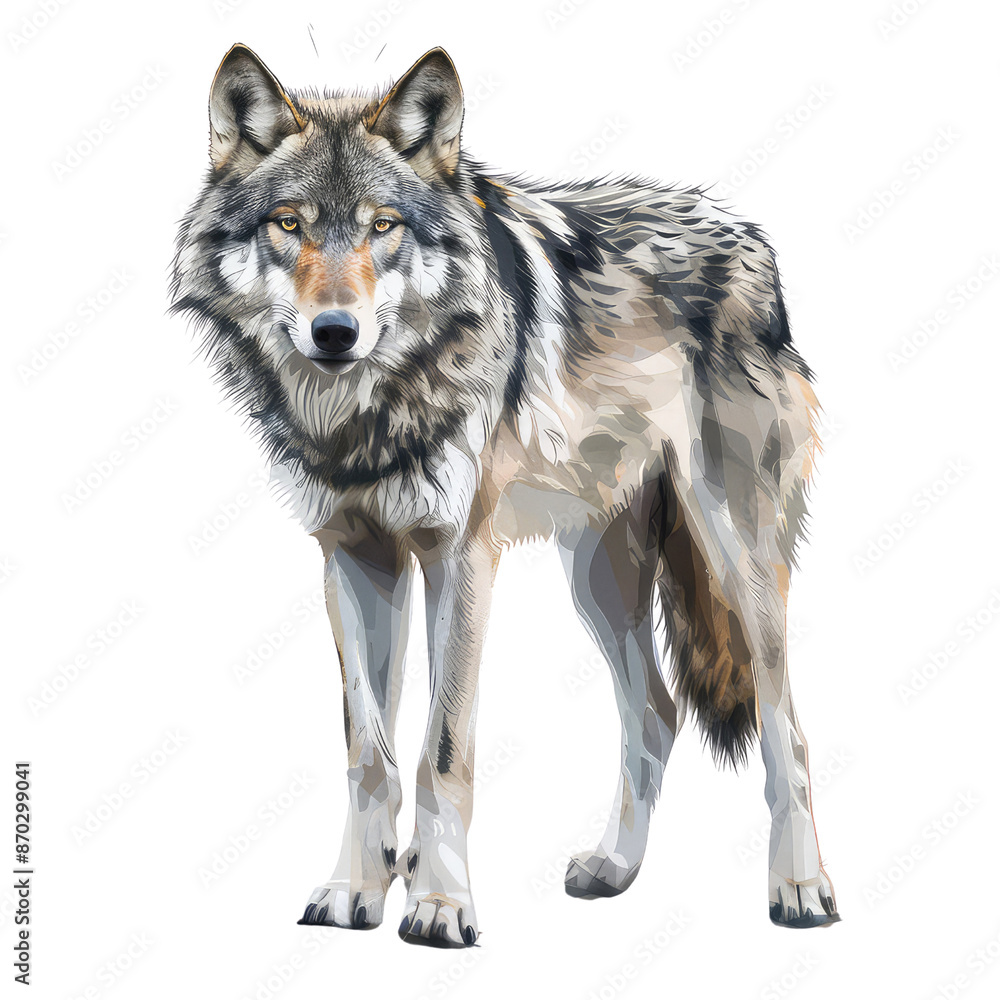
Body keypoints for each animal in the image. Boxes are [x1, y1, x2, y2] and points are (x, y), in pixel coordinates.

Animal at [171, 43, 840, 946]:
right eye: (289, 223)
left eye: (383, 226)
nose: (335, 333)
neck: (369, 413)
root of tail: (749, 238)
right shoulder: (353, 556)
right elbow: (369, 752)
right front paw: (356, 890)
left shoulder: (458, 557)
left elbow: (441, 751)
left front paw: (440, 905)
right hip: (598, 578)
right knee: (656, 712)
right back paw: (614, 868)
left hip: (736, 557)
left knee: (786, 727)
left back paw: (801, 888)